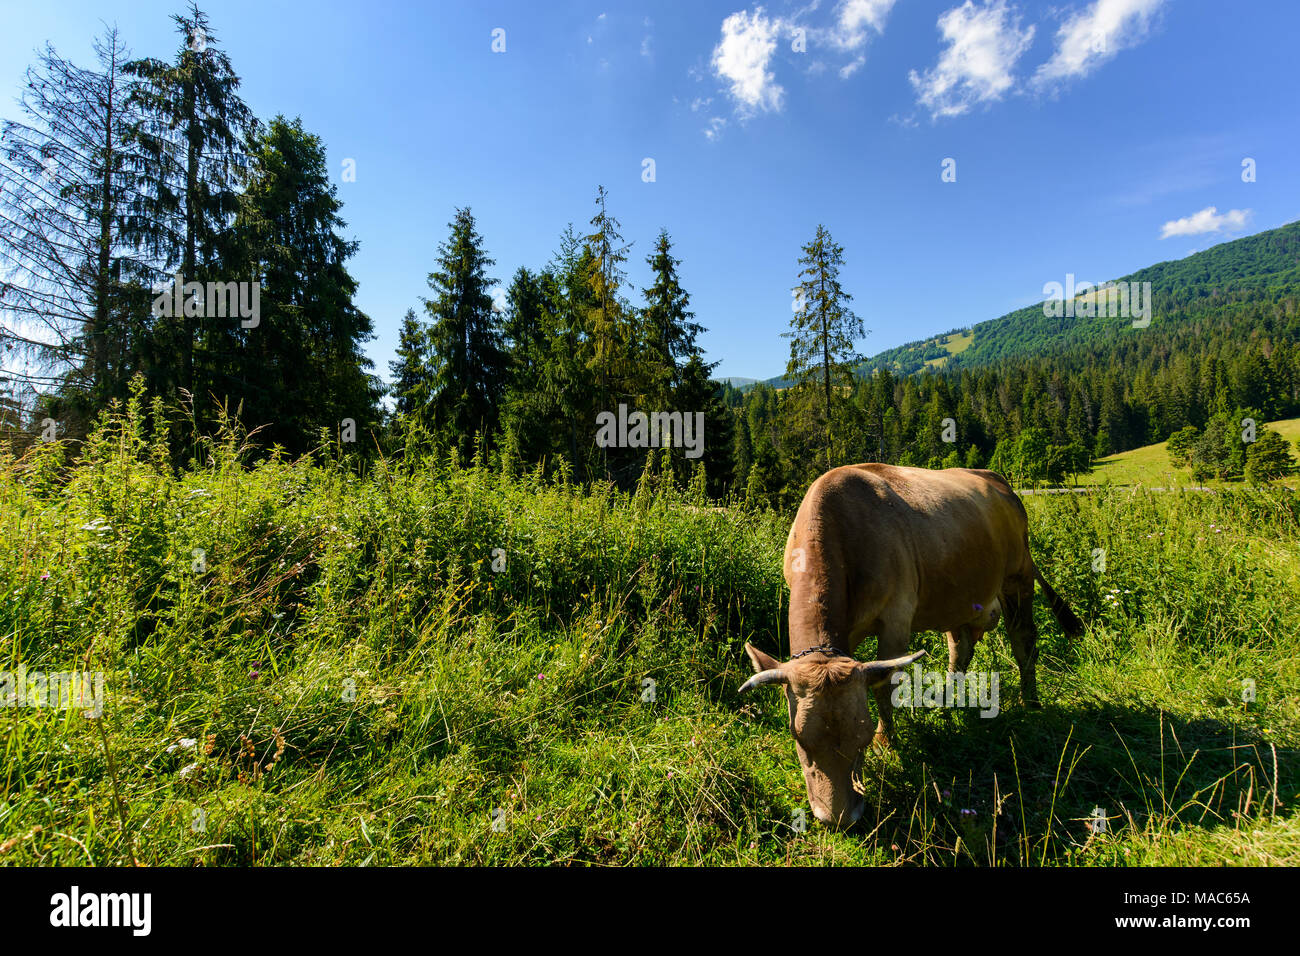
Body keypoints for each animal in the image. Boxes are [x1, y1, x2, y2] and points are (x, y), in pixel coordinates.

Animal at [738, 463, 1081, 832]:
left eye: (862, 738)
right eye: (799, 738)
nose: (840, 818)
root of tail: (995, 478)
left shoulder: (896, 617)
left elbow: (884, 686)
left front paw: (886, 743)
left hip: (1018, 575)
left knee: (1023, 640)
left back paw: (1031, 703)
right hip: (959, 596)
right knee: (960, 648)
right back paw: (948, 705)